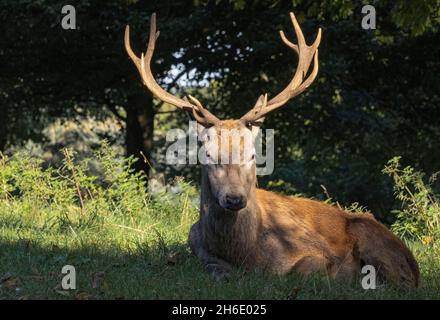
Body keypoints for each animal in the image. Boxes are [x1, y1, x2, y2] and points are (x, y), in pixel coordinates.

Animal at [125, 11, 422, 288]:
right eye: (207, 155)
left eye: (253, 155)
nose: (234, 199)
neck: (245, 254)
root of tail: (415, 265)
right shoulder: (196, 249)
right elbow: (216, 272)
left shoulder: (316, 253)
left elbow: (299, 272)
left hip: (372, 236)